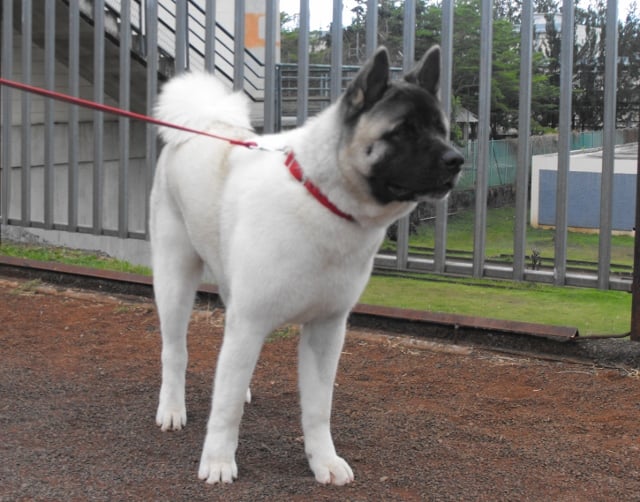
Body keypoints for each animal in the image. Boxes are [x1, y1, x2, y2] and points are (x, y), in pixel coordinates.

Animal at [150, 45, 460, 484]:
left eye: (441, 130)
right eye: (402, 132)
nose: (456, 160)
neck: (322, 199)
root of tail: (204, 123)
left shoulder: (326, 331)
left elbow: (317, 408)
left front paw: (323, 461)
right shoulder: (250, 322)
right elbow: (226, 408)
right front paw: (218, 461)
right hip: (175, 280)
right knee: (175, 351)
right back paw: (172, 408)